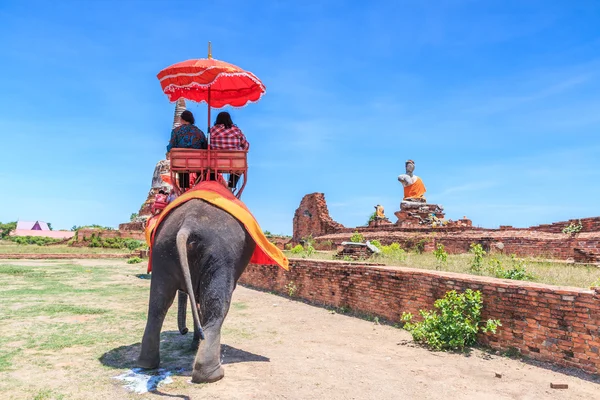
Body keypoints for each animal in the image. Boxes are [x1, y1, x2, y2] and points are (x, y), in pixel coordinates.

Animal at [137, 198, 254, 382]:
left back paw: (146, 364)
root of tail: (187, 224)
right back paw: (212, 375)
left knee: (158, 302)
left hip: (162, 250)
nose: (184, 330)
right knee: (216, 305)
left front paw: (194, 344)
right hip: (219, 255)